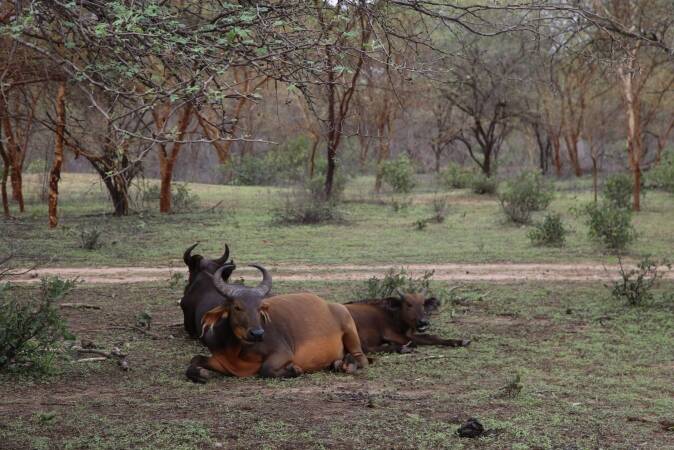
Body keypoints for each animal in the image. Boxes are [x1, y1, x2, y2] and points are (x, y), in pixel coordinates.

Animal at [186, 264, 368, 381]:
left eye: (260, 307)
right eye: (237, 307)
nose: (257, 334)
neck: (237, 349)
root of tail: (331, 305)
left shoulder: (283, 352)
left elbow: (266, 369)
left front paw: (294, 369)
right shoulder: (220, 361)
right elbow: (194, 360)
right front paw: (201, 374)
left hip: (350, 330)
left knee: (362, 359)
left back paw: (346, 365)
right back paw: (338, 363)